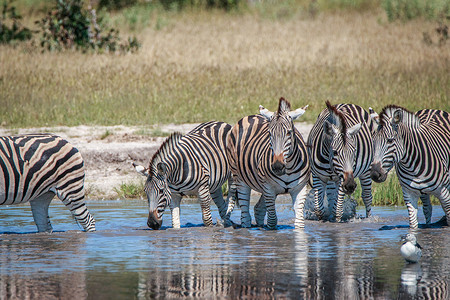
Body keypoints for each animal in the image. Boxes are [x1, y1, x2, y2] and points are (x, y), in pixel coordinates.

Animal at [227, 97, 312, 229]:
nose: (277, 166)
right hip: (240, 178)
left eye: (289, 133)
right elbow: (272, 221)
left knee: (258, 209)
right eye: (269, 133)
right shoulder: (269, 188)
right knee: (245, 213)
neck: (288, 169)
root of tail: (250, 116)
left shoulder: (300, 188)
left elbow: (299, 221)